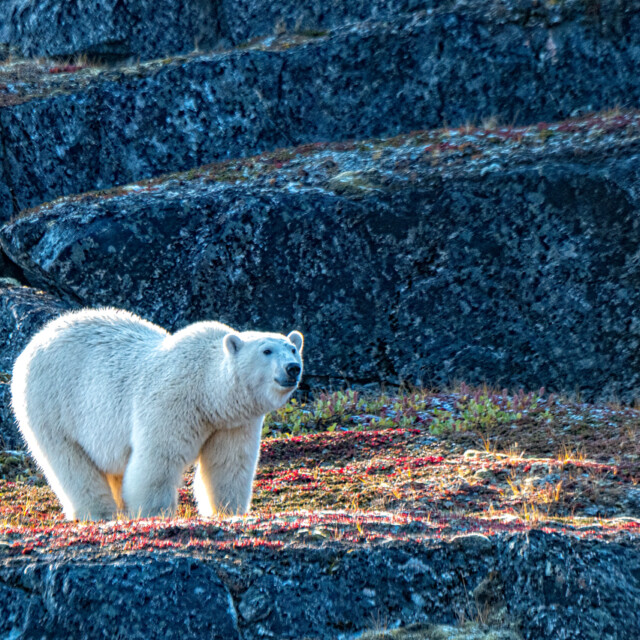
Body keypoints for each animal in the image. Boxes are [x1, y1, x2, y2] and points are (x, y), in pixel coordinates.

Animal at [10, 307, 304, 521]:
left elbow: (228, 464)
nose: (293, 368)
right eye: (266, 350)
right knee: (69, 462)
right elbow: (158, 460)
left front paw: (227, 512)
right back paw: (99, 513)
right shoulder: (172, 402)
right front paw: (154, 513)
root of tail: (38, 338)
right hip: (51, 405)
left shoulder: (233, 422)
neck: (207, 391)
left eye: (292, 348)